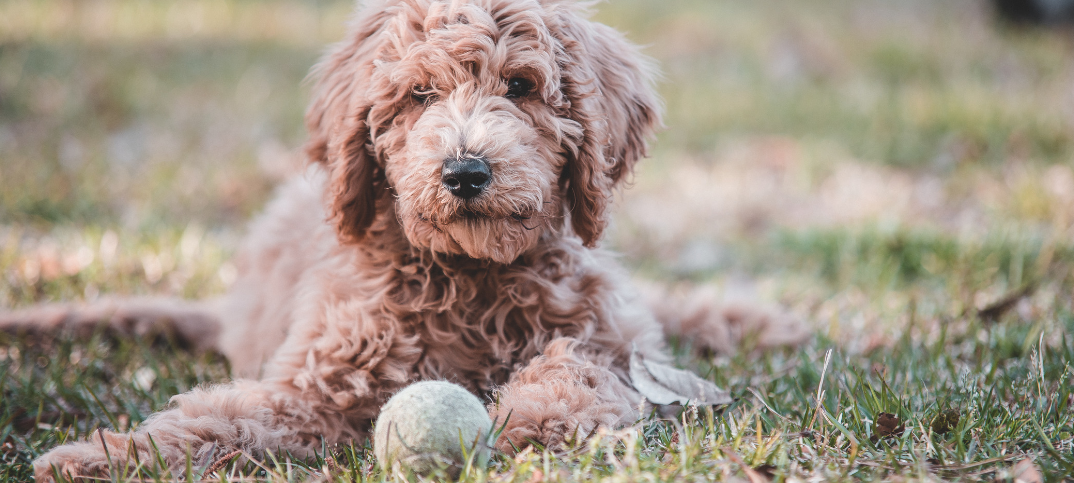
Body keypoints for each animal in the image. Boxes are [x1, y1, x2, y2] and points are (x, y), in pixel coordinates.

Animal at [2, 0, 807, 476]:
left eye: (521, 86)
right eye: (419, 95)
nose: (466, 171)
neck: (469, 274)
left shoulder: (604, 332)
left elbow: (581, 363)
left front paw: (533, 416)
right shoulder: (315, 382)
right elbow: (226, 416)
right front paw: (105, 454)